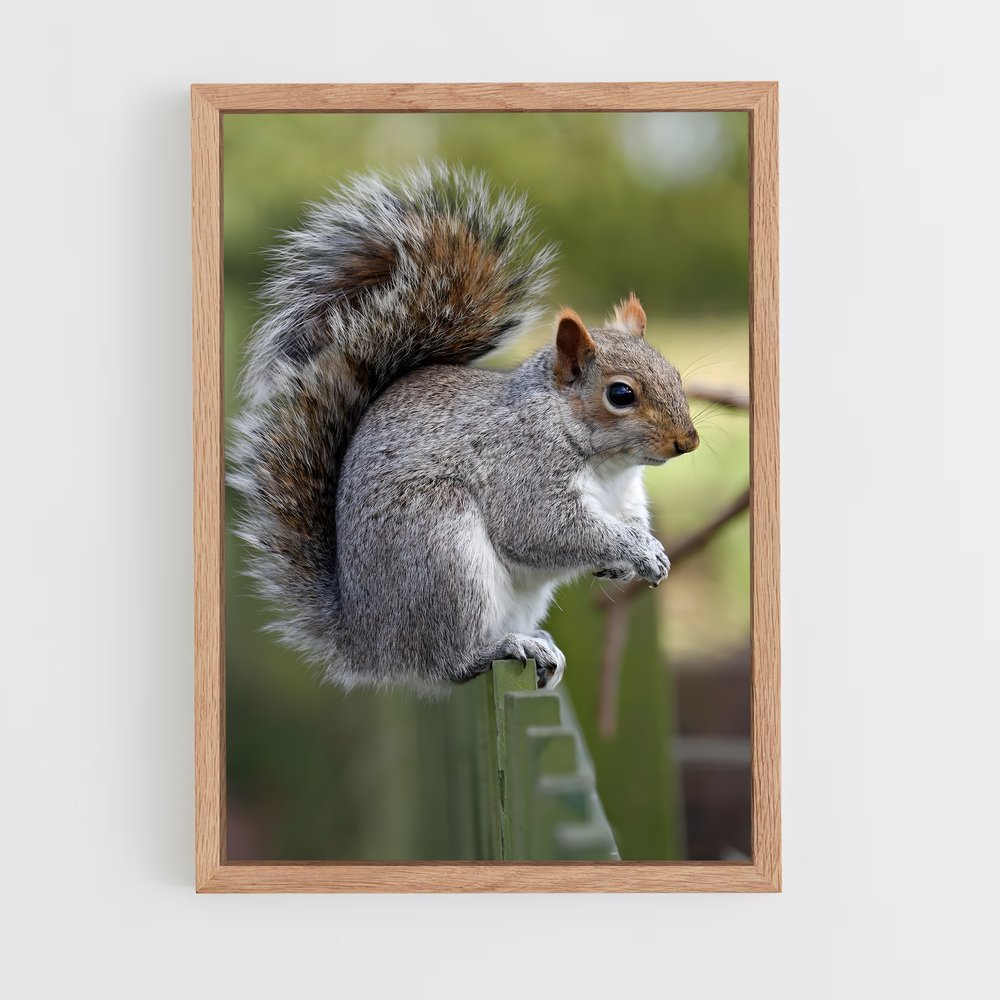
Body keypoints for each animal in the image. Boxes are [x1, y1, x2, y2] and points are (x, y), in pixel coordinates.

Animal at [230, 163, 699, 693]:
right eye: (620, 394)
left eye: (674, 373)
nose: (688, 442)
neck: (607, 465)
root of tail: (368, 643)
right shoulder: (523, 469)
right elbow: (545, 528)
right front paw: (632, 550)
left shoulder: (625, 498)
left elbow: (630, 521)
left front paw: (646, 552)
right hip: (442, 550)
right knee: (449, 663)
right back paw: (503, 647)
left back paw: (539, 645)